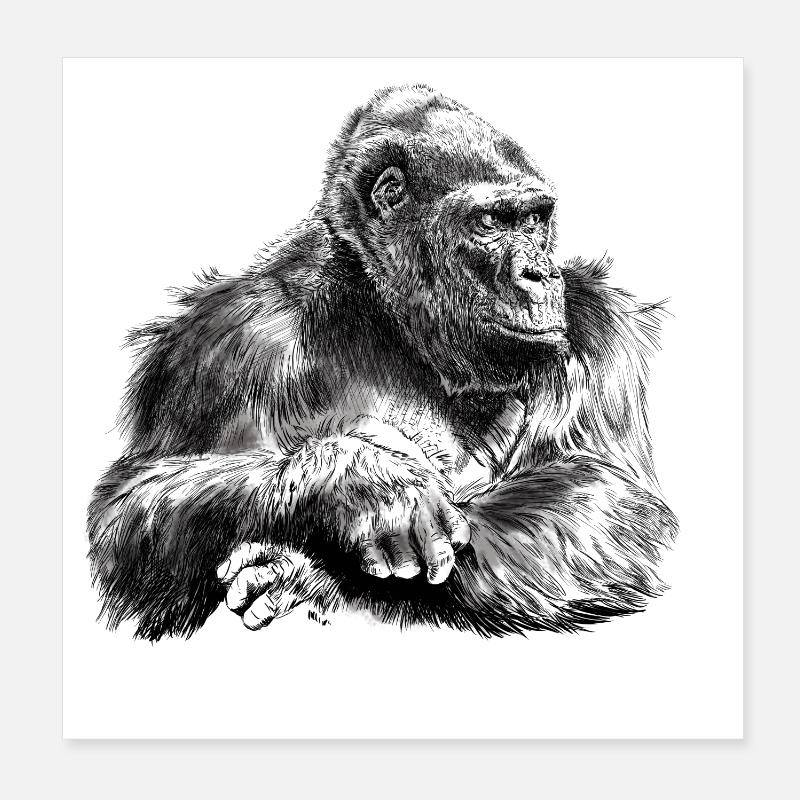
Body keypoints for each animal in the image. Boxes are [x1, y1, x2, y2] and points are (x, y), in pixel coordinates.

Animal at [88, 84, 678, 640]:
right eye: (491, 221)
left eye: (535, 219)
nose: (540, 274)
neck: (385, 313)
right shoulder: (223, 339)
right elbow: (129, 514)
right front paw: (363, 486)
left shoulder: (600, 327)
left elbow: (609, 502)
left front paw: (314, 574)